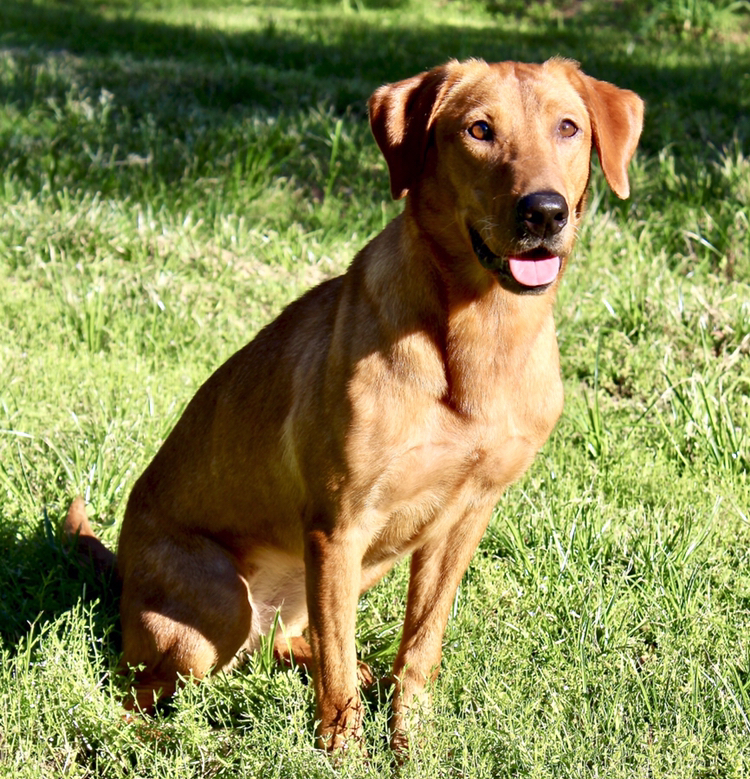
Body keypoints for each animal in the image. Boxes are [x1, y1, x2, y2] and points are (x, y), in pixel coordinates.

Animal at [64, 58, 644, 752]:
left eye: (568, 128)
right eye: (479, 130)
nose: (545, 212)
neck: (482, 335)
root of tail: (123, 568)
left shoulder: (463, 518)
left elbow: (419, 647)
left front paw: (410, 740)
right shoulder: (339, 526)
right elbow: (336, 672)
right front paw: (342, 750)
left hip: (357, 570)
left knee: (288, 641)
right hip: (220, 607)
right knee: (136, 693)